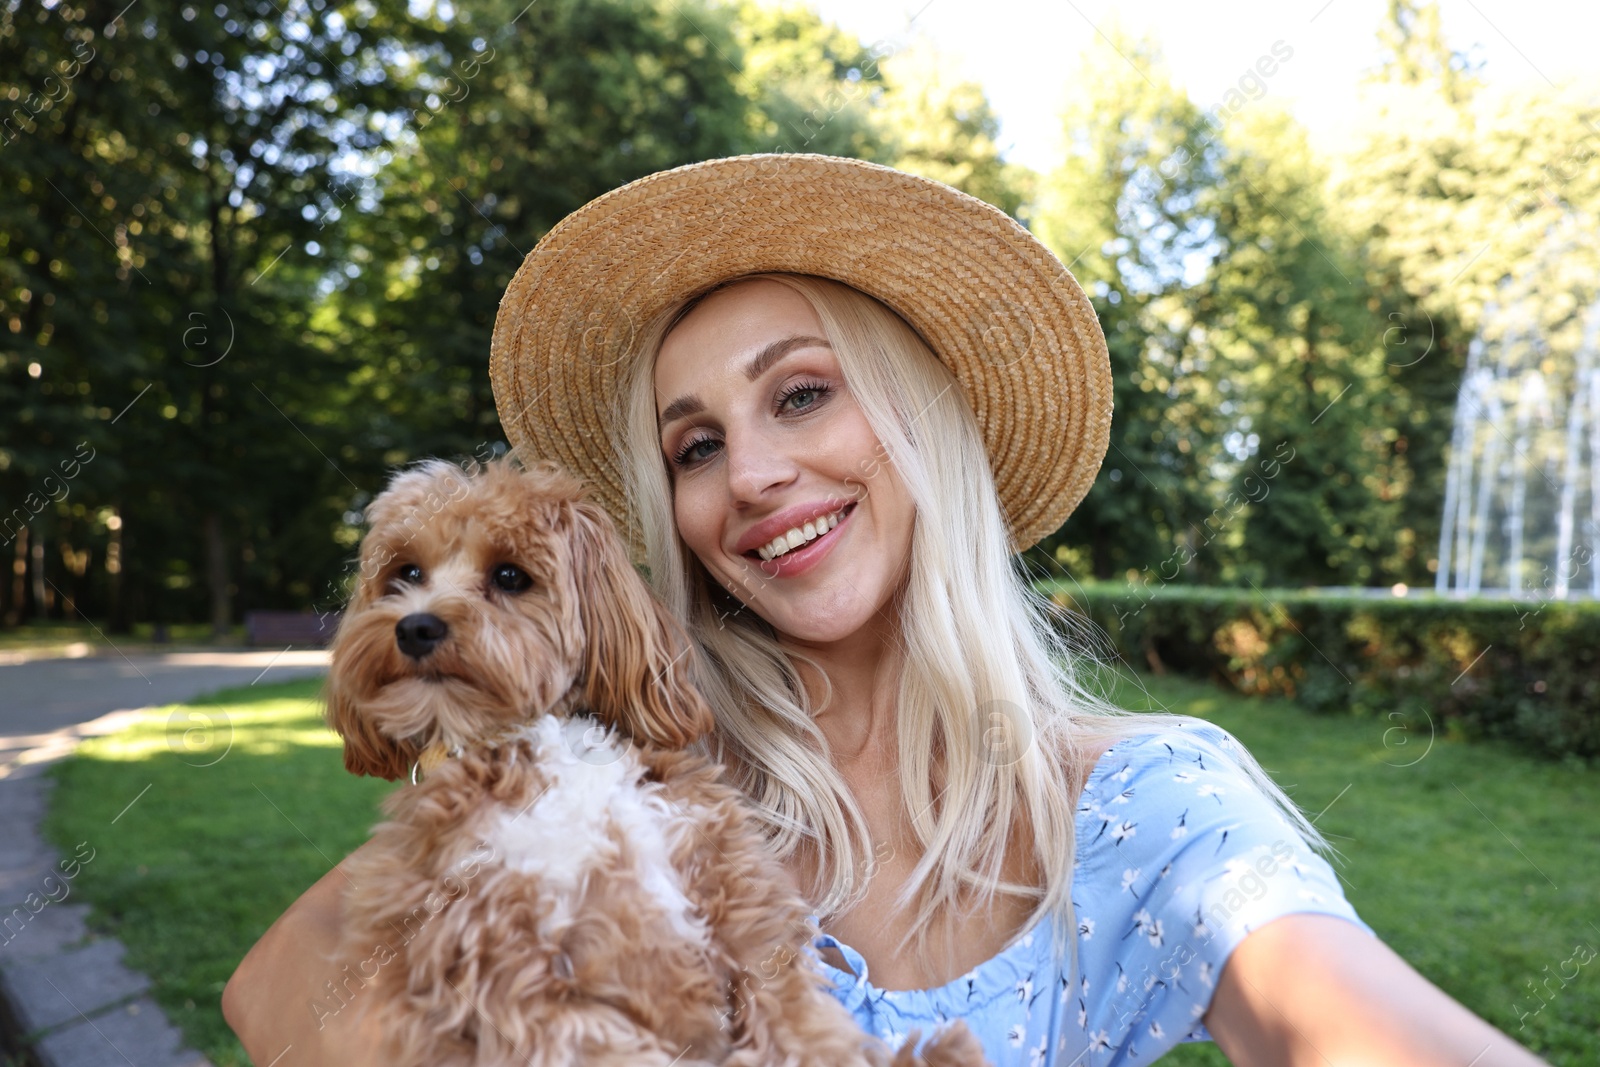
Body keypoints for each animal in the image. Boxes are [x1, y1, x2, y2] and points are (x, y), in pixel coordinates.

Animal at [321, 460, 985, 1067]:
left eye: (509, 576)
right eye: (406, 573)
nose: (416, 627)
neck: (544, 748)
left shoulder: (736, 900)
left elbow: (800, 1022)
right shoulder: (502, 973)